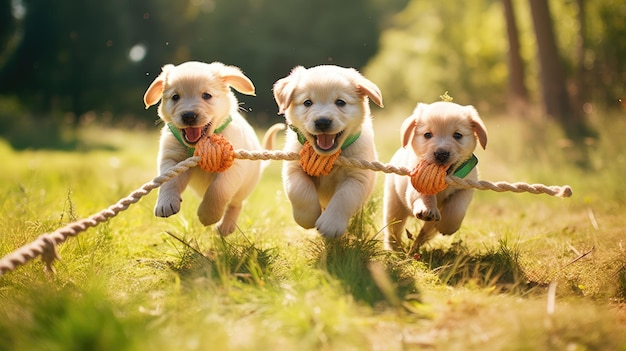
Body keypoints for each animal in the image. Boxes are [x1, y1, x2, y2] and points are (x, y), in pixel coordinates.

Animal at [143, 61, 260, 236]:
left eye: (206, 95)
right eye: (175, 97)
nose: (189, 116)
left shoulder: (232, 166)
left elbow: (218, 190)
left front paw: (208, 215)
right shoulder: (171, 158)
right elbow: (169, 180)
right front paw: (166, 202)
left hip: (245, 186)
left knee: (236, 203)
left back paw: (226, 226)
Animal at [266, 64, 380, 238]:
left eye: (340, 102)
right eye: (307, 102)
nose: (322, 122)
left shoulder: (358, 176)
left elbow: (344, 197)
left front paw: (331, 224)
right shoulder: (294, 167)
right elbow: (300, 191)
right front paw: (307, 218)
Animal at [380, 102, 488, 253]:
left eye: (457, 135)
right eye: (427, 135)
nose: (441, 154)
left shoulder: (465, 188)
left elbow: (457, 208)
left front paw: (447, 226)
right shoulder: (415, 182)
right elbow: (424, 195)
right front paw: (427, 209)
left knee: (425, 233)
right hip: (394, 205)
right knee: (392, 229)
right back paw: (393, 249)